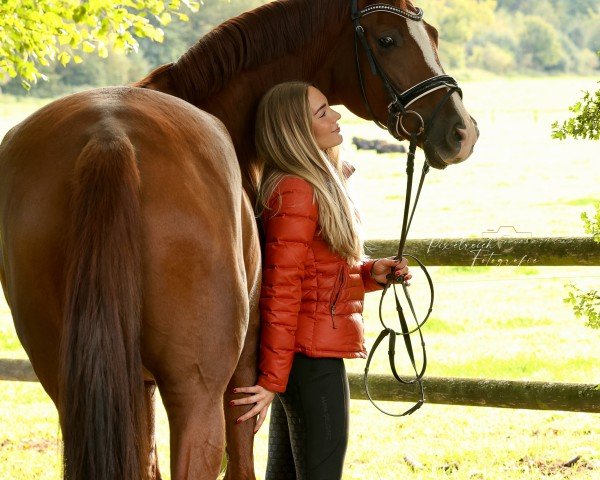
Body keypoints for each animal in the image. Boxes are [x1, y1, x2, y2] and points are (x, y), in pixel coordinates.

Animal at [0, 0, 478, 480]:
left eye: (434, 35)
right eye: (387, 40)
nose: (462, 131)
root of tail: (108, 137)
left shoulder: (135, 384)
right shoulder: (247, 364)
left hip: (68, 382)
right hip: (197, 389)